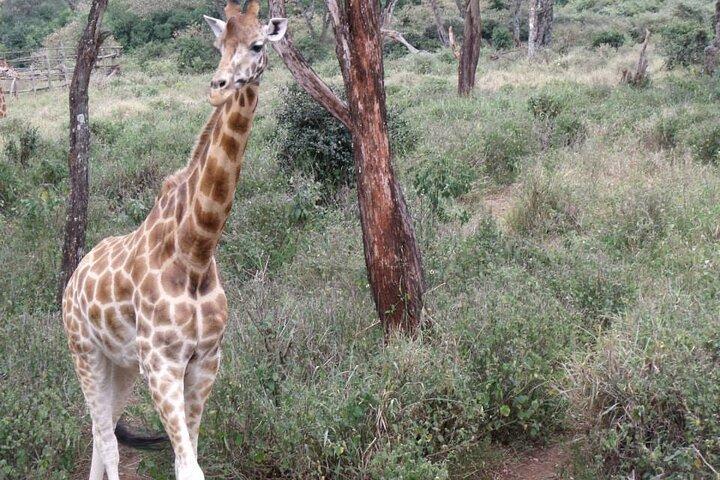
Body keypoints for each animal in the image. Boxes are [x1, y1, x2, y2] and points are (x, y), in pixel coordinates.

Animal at [61, 2, 287, 479]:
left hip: (121, 363)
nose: (218, 88)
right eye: (219, 45)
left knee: (100, 432)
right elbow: (188, 465)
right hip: (84, 350)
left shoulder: (205, 360)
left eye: (258, 45)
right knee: (105, 437)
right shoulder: (161, 364)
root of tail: (73, 279)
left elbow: (190, 459)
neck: (196, 250)